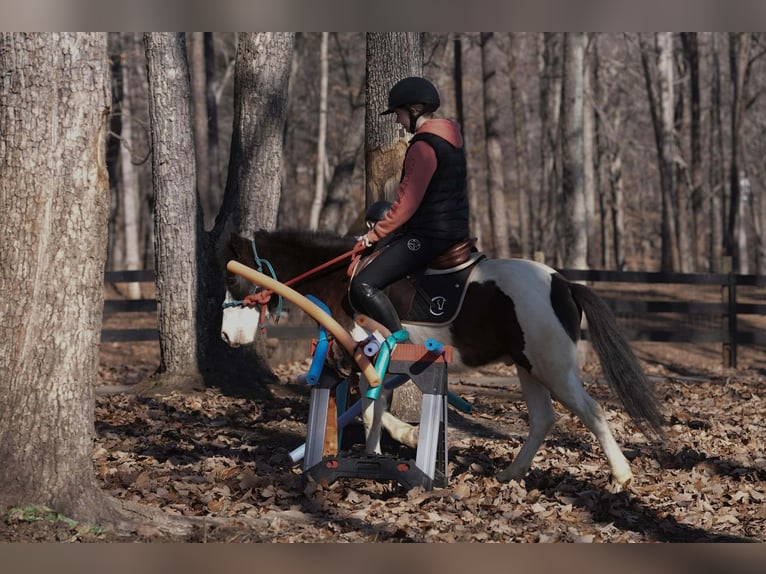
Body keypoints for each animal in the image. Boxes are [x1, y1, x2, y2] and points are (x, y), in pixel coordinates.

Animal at [218, 229, 665, 491]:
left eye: (232, 277)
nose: (227, 335)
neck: (341, 280)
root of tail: (563, 283)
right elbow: (374, 407)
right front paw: (378, 451)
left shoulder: (368, 351)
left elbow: (372, 405)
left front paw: (406, 440)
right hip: (527, 367)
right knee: (543, 419)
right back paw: (511, 474)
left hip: (550, 366)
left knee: (591, 410)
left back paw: (621, 475)